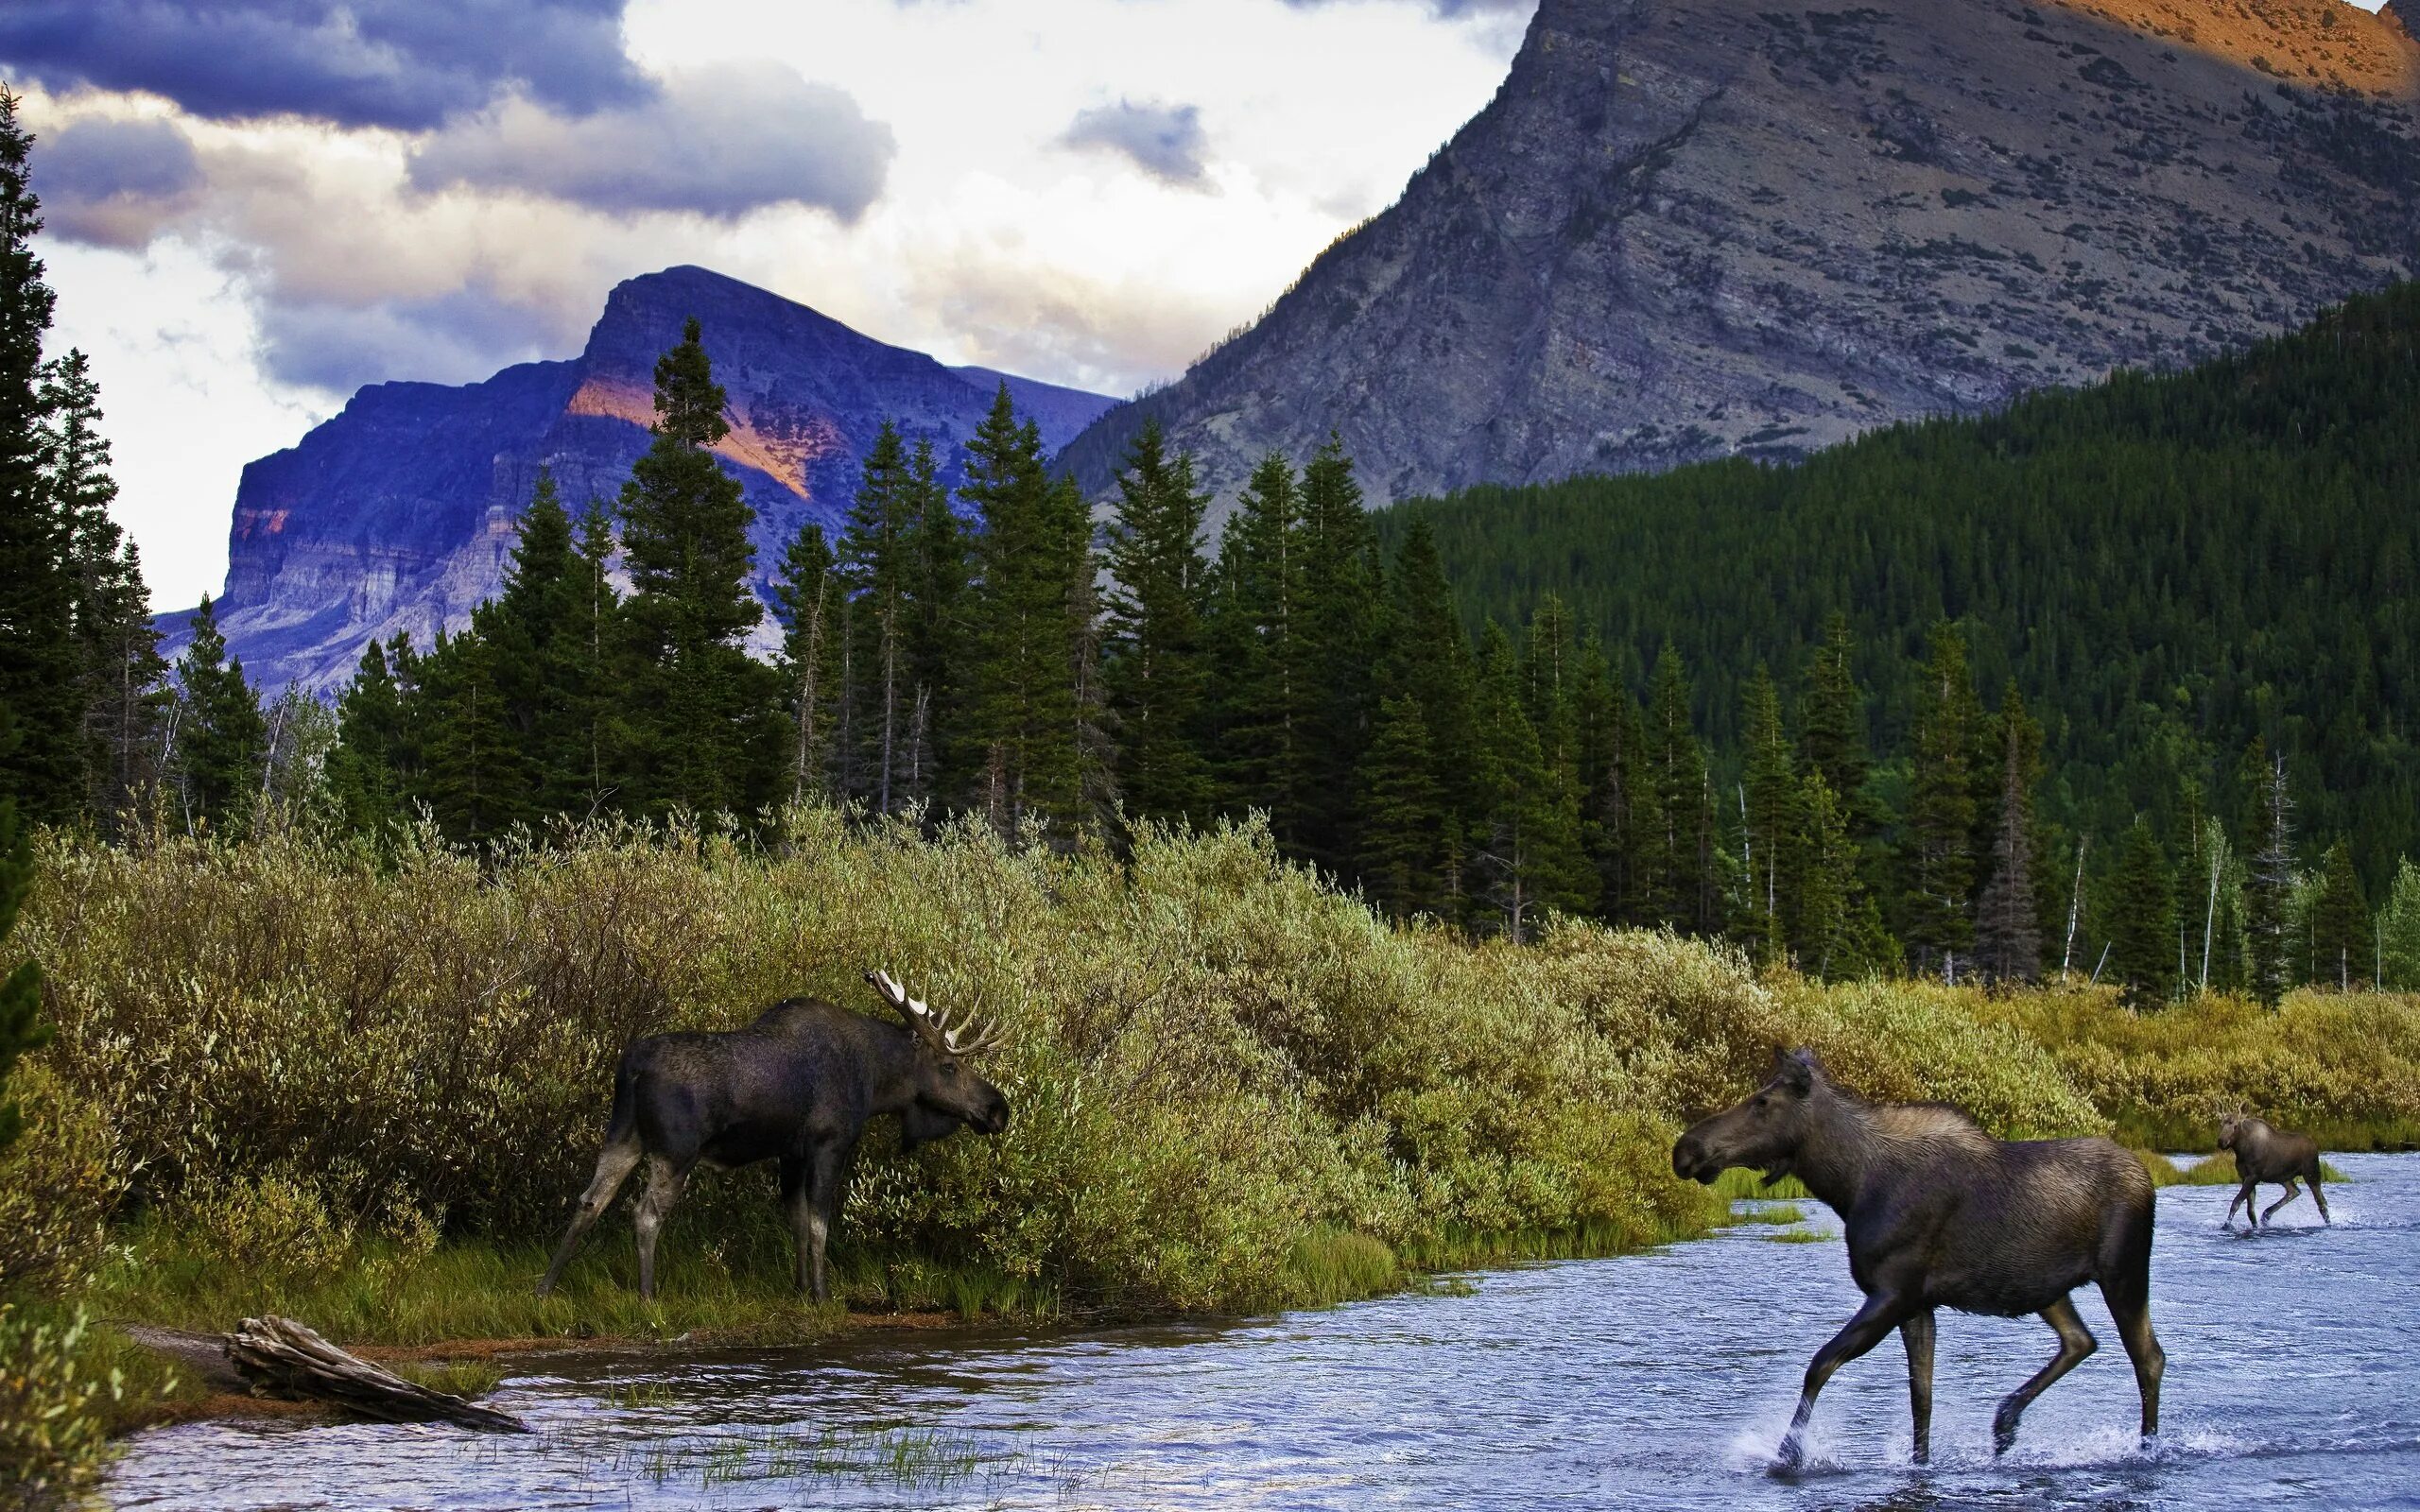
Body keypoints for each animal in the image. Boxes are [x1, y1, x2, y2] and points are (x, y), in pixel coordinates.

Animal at [539, 972, 1011, 1306]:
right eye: (949, 1066)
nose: (998, 1109)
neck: (877, 1082)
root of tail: (630, 1070)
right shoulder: (829, 1144)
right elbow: (820, 1224)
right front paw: (822, 1294)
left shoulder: (791, 1153)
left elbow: (798, 1221)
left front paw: (800, 1288)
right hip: (676, 1150)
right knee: (646, 1213)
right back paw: (647, 1295)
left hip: (622, 1136)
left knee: (590, 1201)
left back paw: (545, 1286)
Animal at [1674, 1050, 2168, 1461]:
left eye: (1762, 1102)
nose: (1686, 1149)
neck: (1849, 1185)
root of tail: (2147, 1179)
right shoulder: (1918, 1304)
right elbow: (1921, 1398)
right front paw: (1920, 1462)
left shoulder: (1892, 1292)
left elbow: (1820, 1364)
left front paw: (1789, 1453)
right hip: (2045, 1288)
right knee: (2081, 1340)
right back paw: (2005, 1423)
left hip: (2123, 1271)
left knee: (2148, 1356)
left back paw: (2146, 1448)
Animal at [2216, 1108, 2323, 1228]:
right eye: (2221, 1124)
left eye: (2235, 1126)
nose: (2221, 1141)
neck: (2241, 1151)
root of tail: (2314, 1145)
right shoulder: (2244, 1177)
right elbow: (2250, 1211)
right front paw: (2255, 1226)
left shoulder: (2254, 1176)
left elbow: (2236, 1202)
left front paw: (2226, 1226)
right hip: (2283, 1177)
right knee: (2294, 1191)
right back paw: (2266, 1215)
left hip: (2311, 1172)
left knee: (2321, 1202)